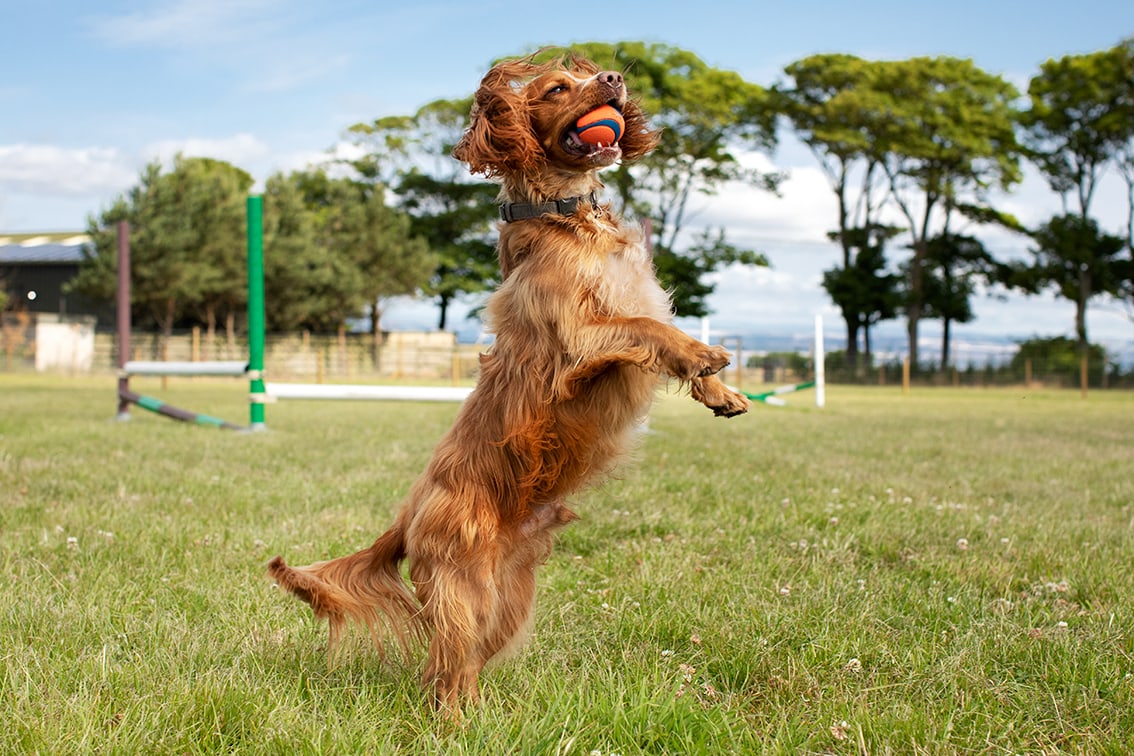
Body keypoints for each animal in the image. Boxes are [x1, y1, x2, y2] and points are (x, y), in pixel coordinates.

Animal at [260, 53, 748, 716]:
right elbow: (649, 331)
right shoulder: (578, 338)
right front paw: (702, 355)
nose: (615, 80)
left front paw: (720, 391)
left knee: (461, 664)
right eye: (559, 87)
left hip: (508, 596)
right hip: (462, 587)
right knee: (443, 670)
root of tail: (407, 514)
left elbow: (663, 331)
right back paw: (457, 725)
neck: (567, 216)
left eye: (593, 73)